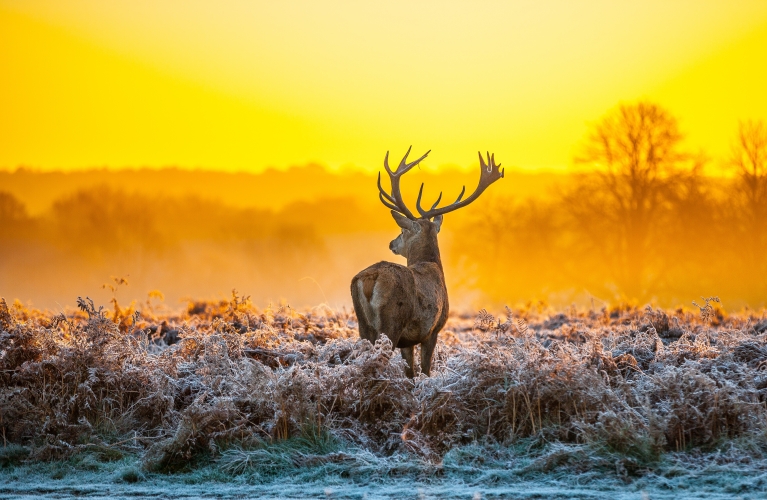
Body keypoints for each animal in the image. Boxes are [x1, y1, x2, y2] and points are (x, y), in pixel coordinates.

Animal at [352, 146, 504, 376]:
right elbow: (425, 370)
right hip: (391, 322)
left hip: (363, 325)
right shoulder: (433, 330)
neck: (432, 265)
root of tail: (371, 278)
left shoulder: (408, 341)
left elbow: (410, 373)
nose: (391, 243)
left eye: (402, 230)